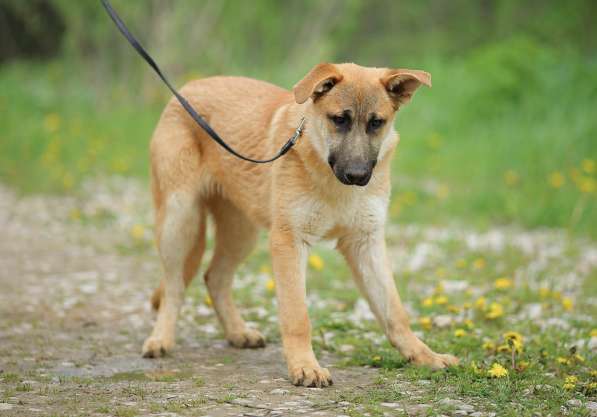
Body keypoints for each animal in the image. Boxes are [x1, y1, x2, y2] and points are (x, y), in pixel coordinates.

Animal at [143, 62, 456, 386]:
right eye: (339, 120)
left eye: (376, 123)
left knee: (214, 277)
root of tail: (189, 88)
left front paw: (423, 355)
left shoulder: (365, 243)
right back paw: (161, 339)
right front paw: (305, 366)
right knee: (174, 285)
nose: (357, 176)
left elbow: (395, 312)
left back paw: (238, 332)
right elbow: (297, 316)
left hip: (241, 232)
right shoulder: (289, 241)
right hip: (180, 218)